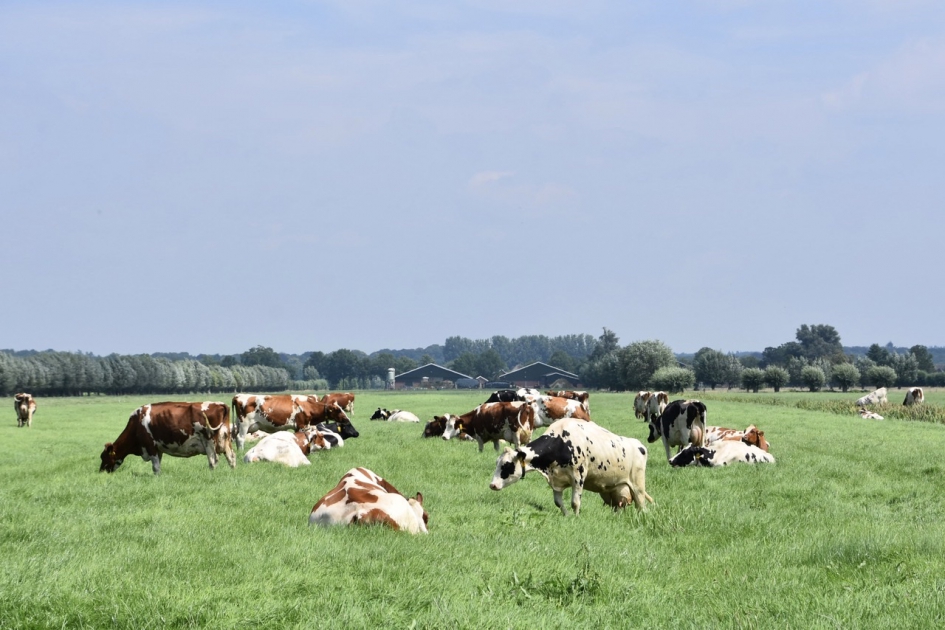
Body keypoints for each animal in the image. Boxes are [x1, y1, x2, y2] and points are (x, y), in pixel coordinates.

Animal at [100, 402, 236, 475]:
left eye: (104, 457)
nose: (100, 471)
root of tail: (220, 404)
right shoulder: (158, 449)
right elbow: (158, 466)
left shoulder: (150, 446)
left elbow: (155, 467)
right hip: (225, 440)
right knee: (231, 457)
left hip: (209, 441)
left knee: (213, 461)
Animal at [489, 418, 654, 515]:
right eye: (497, 463)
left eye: (507, 465)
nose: (492, 485)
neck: (561, 442)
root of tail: (639, 445)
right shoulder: (556, 481)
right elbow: (558, 502)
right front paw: (567, 515)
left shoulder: (578, 476)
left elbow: (575, 502)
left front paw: (576, 517)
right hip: (613, 491)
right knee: (619, 507)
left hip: (638, 484)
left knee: (642, 505)